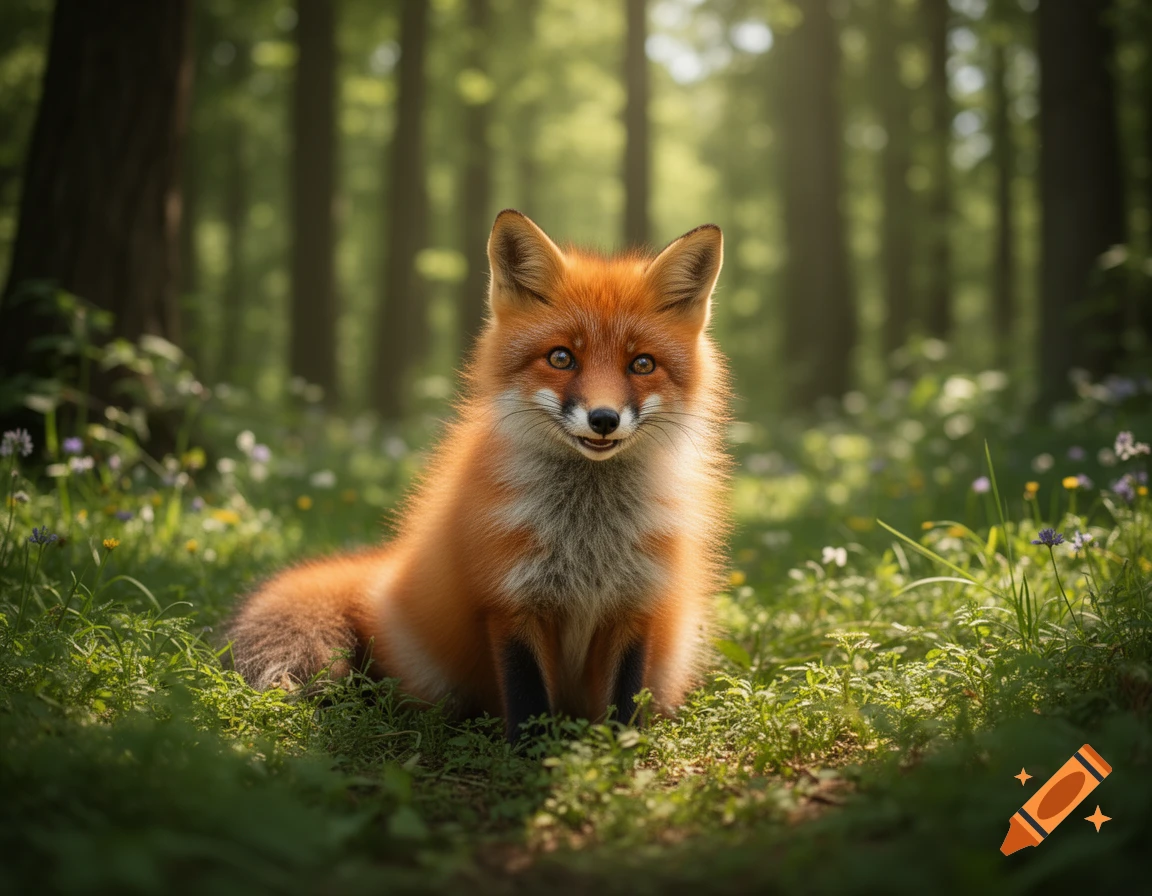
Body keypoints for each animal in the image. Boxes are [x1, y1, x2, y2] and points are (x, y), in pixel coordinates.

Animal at [228, 209, 731, 742]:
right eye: (561, 357)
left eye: (642, 364)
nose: (603, 419)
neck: (586, 538)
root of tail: (385, 577)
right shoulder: (509, 602)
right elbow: (528, 698)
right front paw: (533, 753)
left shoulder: (635, 605)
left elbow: (624, 702)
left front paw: (621, 751)